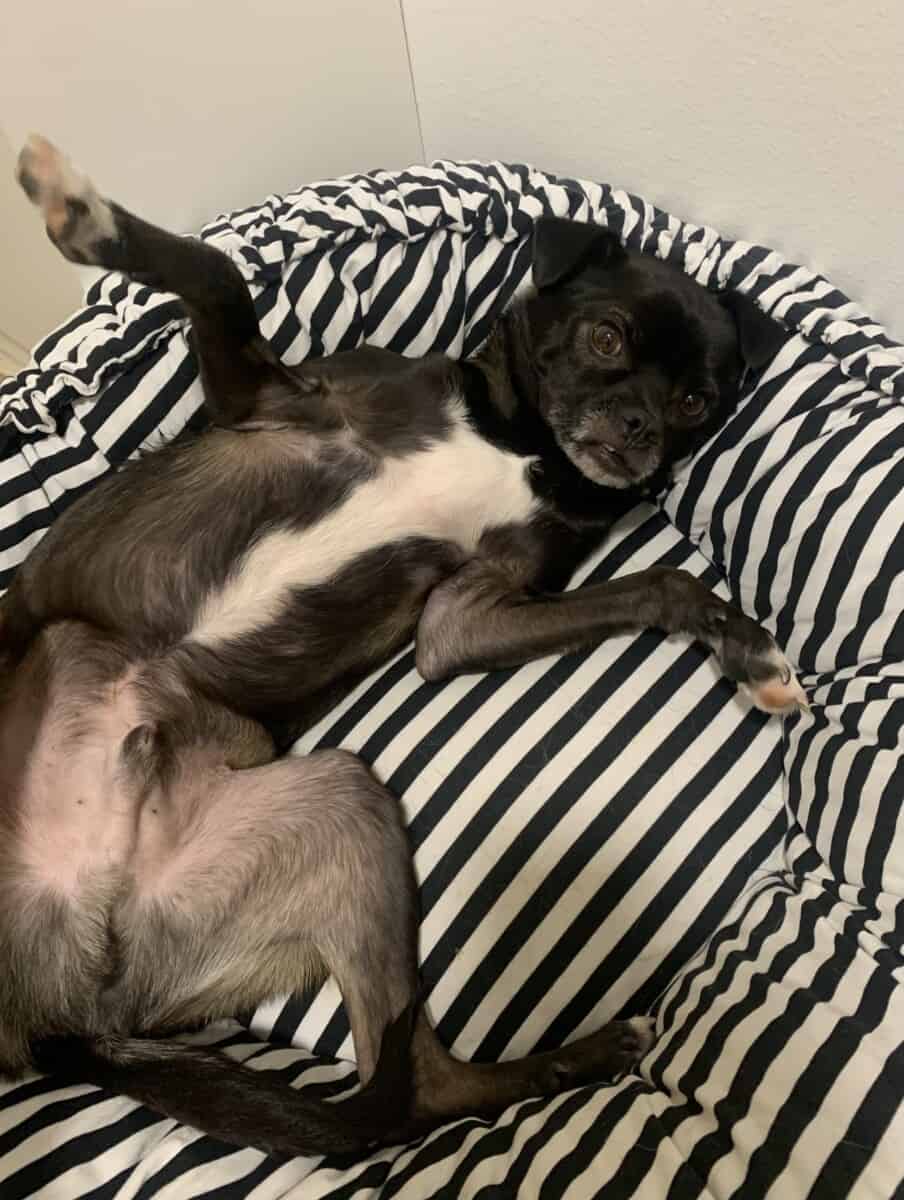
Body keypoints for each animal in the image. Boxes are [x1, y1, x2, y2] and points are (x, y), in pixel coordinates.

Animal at [0, 135, 802, 1158]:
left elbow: (661, 584)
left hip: (342, 806)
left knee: (419, 1088)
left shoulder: (466, 618)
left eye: (699, 400)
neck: (520, 441)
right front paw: (81, 212)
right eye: (607, 338)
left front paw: (749, 651)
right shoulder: (269, 397)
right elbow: (218, 273)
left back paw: (577, 1059)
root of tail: (65, 1020)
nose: (642, 434)